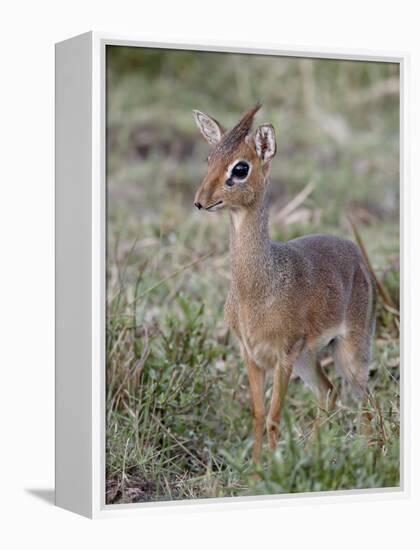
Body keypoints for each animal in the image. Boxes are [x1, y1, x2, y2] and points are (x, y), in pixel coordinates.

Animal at [194, 104, 378, 466]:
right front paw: (255, 470)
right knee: (328, 391)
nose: (200, 200)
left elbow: (274, 417)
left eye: (240, 167)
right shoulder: (251, 354)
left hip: (350, 350)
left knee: (364, 397)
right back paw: (312, 455)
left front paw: (274, 469)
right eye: (210, 157)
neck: (257, 292)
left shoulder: (284, 354)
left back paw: (366, 455)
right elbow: (257, 414)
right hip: (309, 357)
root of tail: (354, 251)